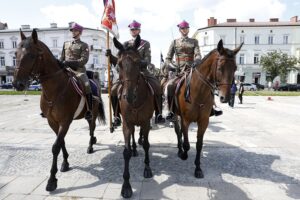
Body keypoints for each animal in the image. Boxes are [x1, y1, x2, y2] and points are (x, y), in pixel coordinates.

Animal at [13, 28, 106, 191]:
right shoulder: (52, 121)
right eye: (15, 54)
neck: (55, 89)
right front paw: (65, 163)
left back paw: (90, 145)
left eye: (31, 55)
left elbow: (55, 146)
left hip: (93, 113)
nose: (17, 84)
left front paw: (52, 180)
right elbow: (61, 142)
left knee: (92, 127)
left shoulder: (65, 121)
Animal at [112, 34, 155, 198]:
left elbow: (147, 144)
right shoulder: (127, 123)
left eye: (139, 62)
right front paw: (126, 186)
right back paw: (134, 148)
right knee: (132, 137)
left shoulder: (146, 122)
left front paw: (147, 169)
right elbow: (126, 152)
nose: (128, 96)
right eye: (119, 64)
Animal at [165, 39, 243, 177]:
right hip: (175, 115)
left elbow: (199, 145)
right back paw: (180, 150)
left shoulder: (203, 121)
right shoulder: (186, 120)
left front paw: (198, 168)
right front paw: (184, 154)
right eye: (220, 67)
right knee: (178, 131)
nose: (225, 97)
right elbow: (187, 143)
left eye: (235, 68)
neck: (198, 92)